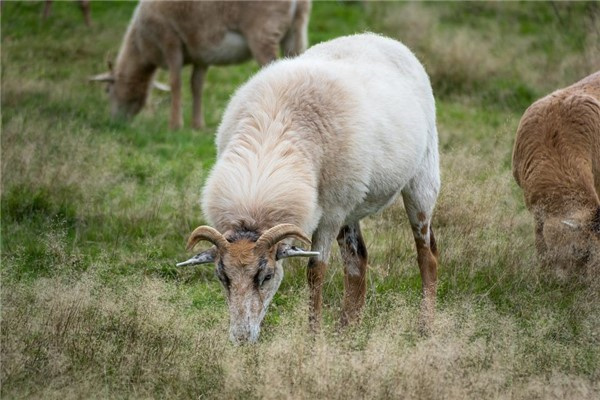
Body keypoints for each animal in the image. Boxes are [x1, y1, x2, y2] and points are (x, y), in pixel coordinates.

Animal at [91, 0, 312, 130]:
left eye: (107, 90)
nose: (115, 122)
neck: (143, 46)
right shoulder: (201, 53)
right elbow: (196, 85)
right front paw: (197, 125)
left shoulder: (169, 38)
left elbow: (175, 83)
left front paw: (175, 125)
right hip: (296, 30)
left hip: (263, 30)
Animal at [175, 33, 440, 344]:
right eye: (222, 277)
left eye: (266, 276)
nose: (241, 338)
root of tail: (377, 37)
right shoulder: (337, 208)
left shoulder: (330, 216)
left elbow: (315, 272)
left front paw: (313, 336)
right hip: (351, 203)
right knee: (357, 260)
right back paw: (347, 331)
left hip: (421, 178)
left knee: (427, 254)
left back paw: (425, 326)